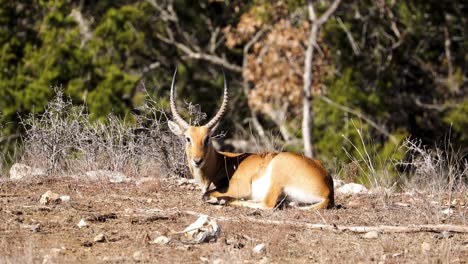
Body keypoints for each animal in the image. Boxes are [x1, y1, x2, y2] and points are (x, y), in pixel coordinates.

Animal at [166, 69, 334, 209]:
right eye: (187, 138)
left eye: (207, 138)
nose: (197, 160)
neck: (223, 162)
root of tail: (328, 190)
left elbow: (205, 194)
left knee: (267, 204)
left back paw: (223, 200)